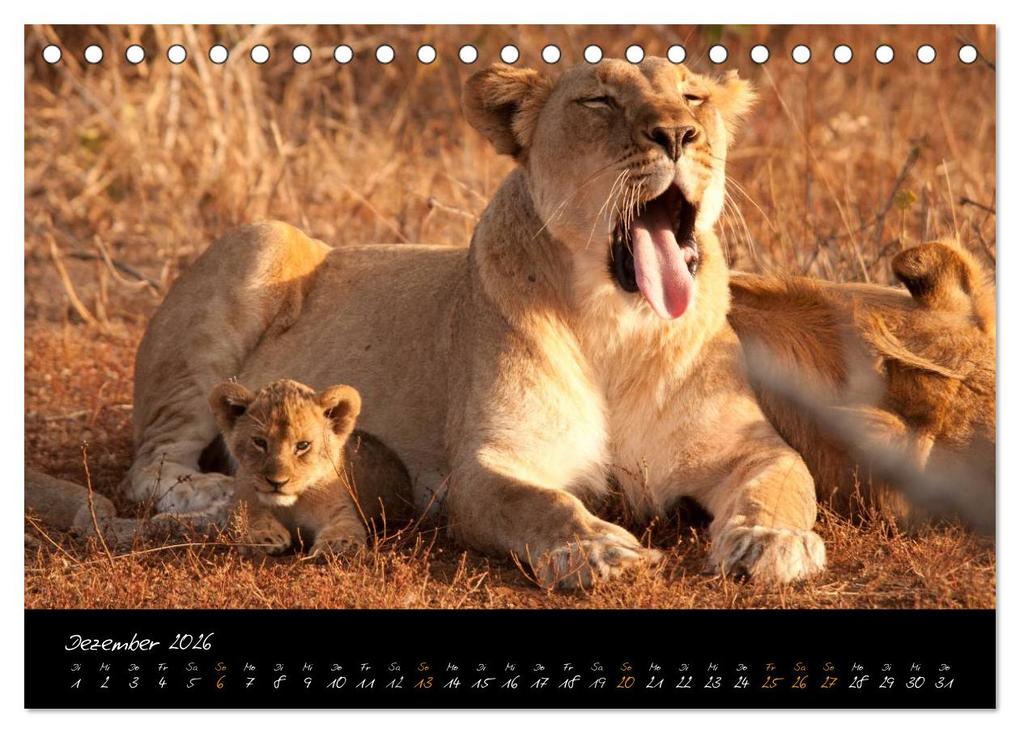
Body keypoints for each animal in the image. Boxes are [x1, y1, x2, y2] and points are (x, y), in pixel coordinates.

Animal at [208, 379, 414, 556]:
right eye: (259, 442)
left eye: (303, 445)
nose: (277, 482)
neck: (291, 505)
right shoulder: (243, 500)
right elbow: (248, 516)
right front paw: (264, 536)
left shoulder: (339, 509)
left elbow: (345, 528)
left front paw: (337, 546)